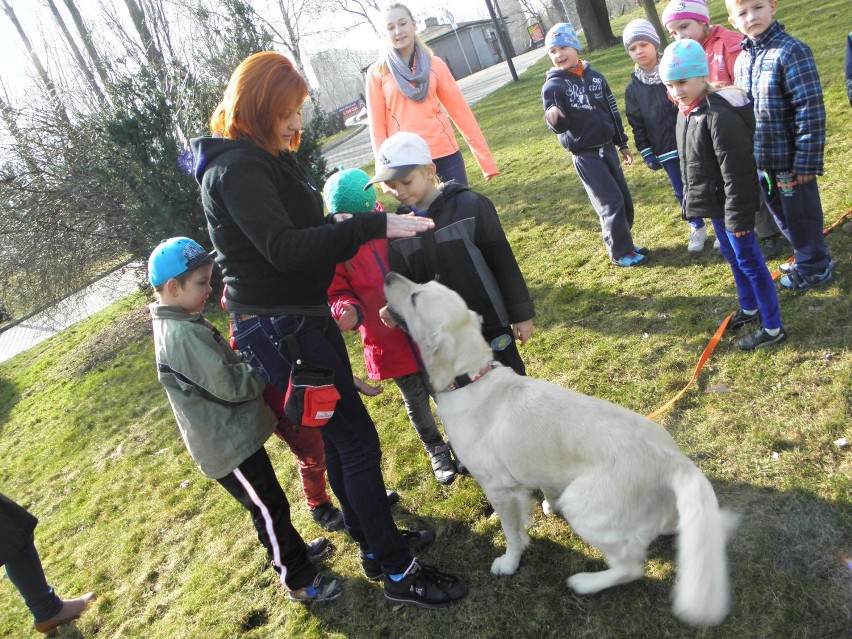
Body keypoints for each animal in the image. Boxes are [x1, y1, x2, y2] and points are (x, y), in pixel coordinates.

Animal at [386, 272, 740, 628]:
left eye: (416, 296)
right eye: (423, 283)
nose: (389, 275)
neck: (470, 378)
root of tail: (676, 462)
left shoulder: (499, 488)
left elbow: (513, 533)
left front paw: (509, 562)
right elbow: (547, 487)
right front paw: (547, 505)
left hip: (584, 504)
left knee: (630, 567)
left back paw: (586, 582)